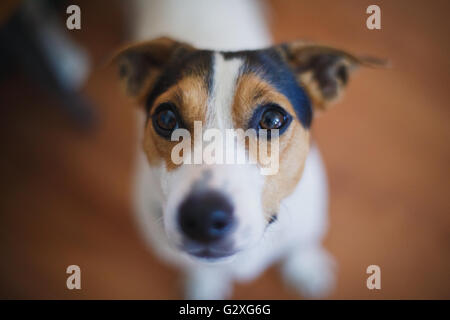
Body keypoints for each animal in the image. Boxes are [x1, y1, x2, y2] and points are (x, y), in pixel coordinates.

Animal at [113, 0, 380, 300]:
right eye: (166, 118)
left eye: (273, 119)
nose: (204, 217)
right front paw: (205, 285)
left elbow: (300, 243)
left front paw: (305, 268)